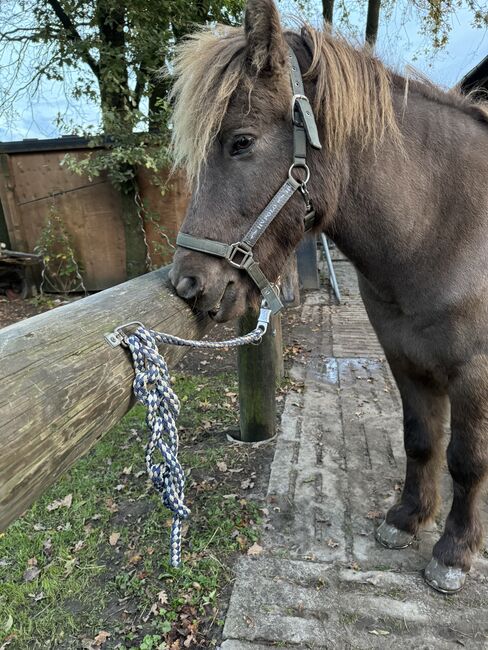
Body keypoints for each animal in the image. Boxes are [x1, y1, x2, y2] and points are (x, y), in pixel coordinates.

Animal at [170, 0, 488, 592]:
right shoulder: (405, 359)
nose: (188, 284)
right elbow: (421, 439)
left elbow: (466, 459)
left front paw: (454, 553)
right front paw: (407, 520)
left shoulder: (474, 372)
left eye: (241, 141)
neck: (450, 227)